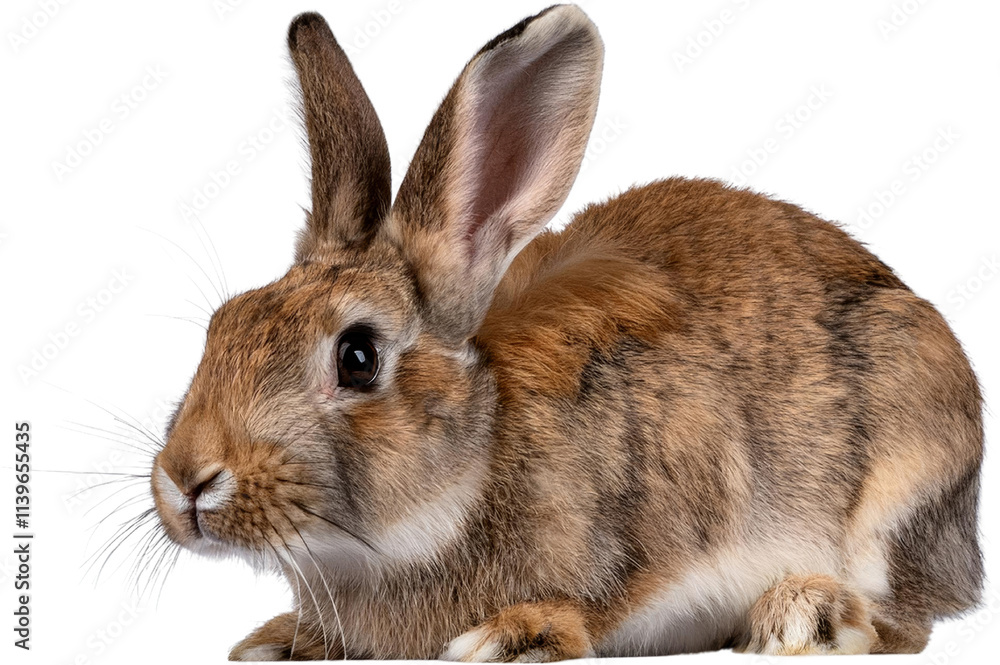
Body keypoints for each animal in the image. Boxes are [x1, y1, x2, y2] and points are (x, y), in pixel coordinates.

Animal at [149, 4, 984, 661]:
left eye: (358, 356)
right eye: (222, 326)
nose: (187, 478)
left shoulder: (677, 498)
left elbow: (613, 591)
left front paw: (512, 634)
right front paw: (282, 637)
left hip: (905, 480)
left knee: (907, 620)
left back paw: (805, 614)